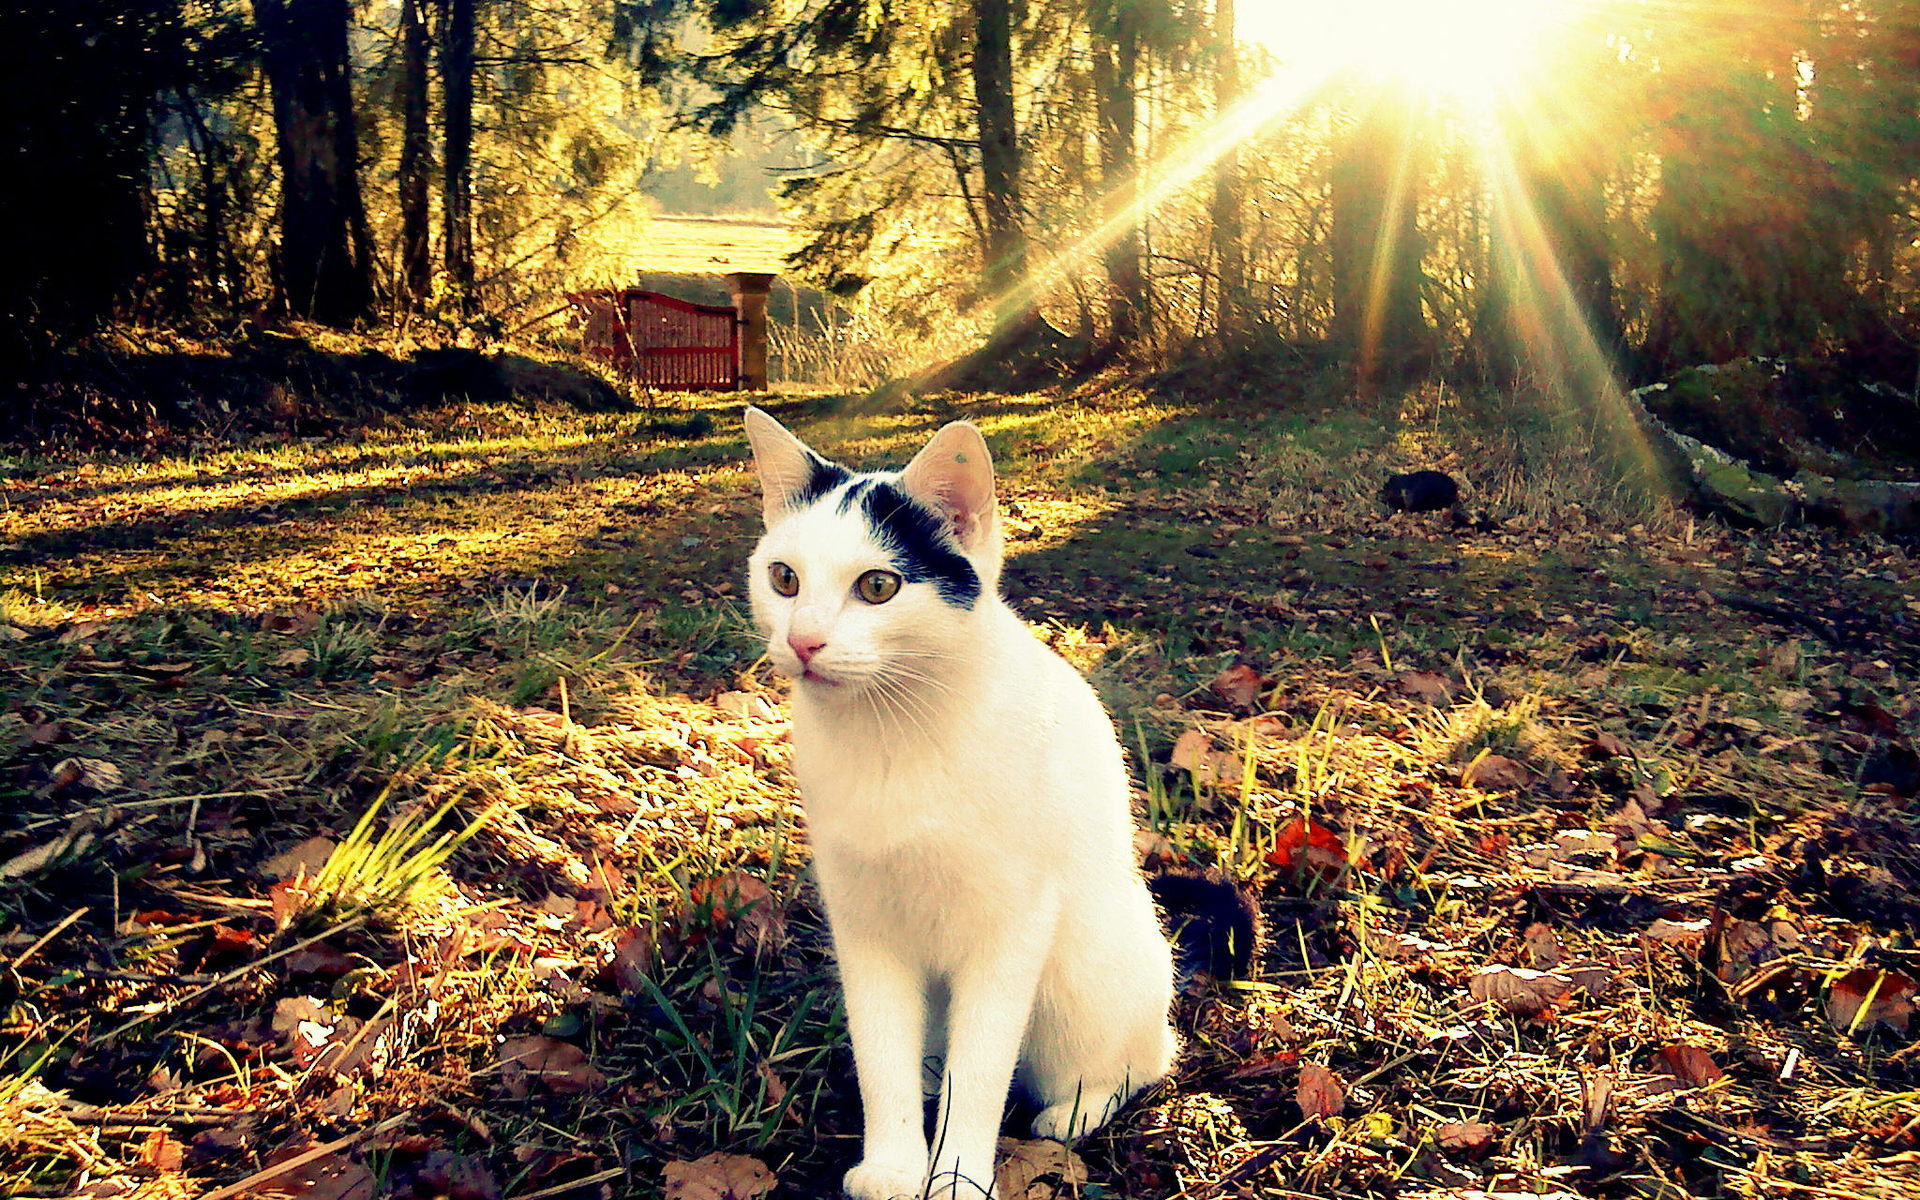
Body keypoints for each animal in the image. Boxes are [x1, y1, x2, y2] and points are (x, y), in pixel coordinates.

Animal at [741, 408, 1175, 1198]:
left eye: (878, 586)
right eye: (783, 578)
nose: (804, 640)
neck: (892, 737)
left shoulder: (1012, 929)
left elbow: (982, 1074)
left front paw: (957, 1178)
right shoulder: (863, 924)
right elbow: (880, 1054)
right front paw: (893, 1164)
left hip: (1087, 972)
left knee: (1146, 1056)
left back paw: (1075, 1110)